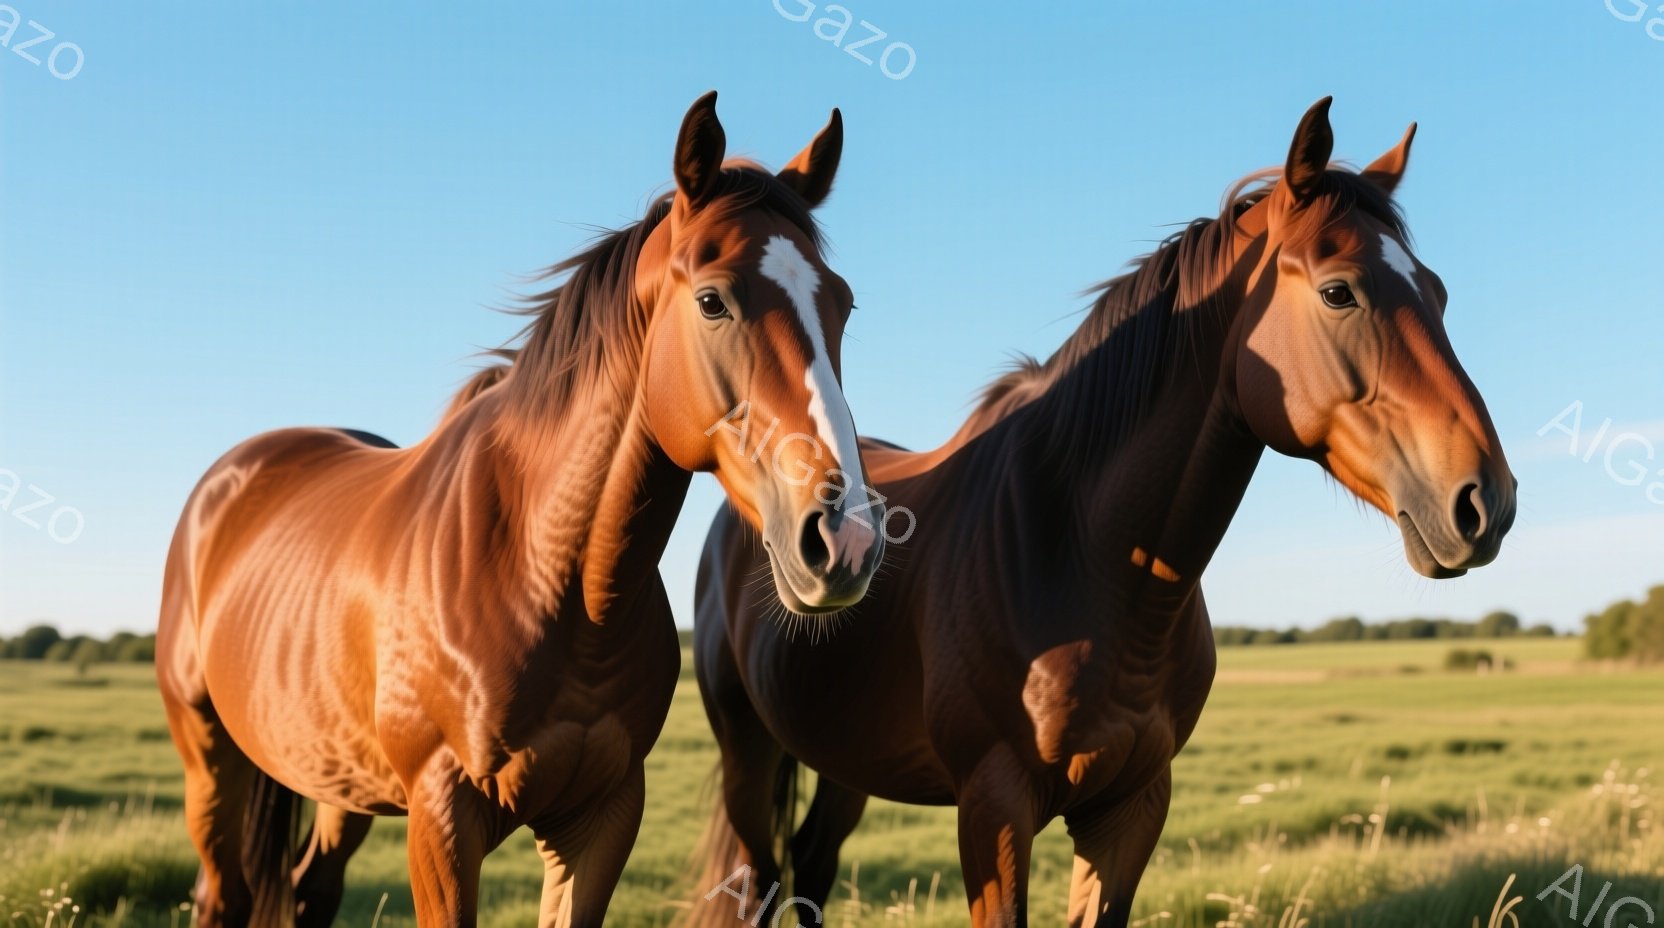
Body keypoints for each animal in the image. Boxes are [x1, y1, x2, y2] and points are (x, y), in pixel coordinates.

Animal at [156, 91, 885, 928]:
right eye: (713, 300)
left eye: (843, 304)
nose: (845, 536)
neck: (550, 581)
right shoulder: (443, 819)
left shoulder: (601, 817)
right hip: (209, 758)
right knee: (223, 893)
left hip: (340, 782)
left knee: (312, 889)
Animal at [689, 98, 1517, 928]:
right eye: (1340, 290)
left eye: (1438, 293)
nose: (1487, 501)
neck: (1083, 559)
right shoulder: (993, 809)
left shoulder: (1132, 808)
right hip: (747, 752)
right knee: (762, 877)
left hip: (844, 761)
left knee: (810, 866)